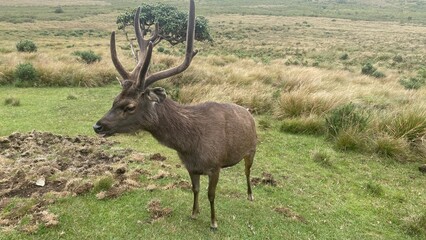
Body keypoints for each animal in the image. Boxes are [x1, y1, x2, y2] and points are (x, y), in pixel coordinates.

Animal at [93, 0, 256, 230]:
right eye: (115, 99)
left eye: (130, 106)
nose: (98, 126)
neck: (190, 144)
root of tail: (249, 113)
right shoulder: (191, 166)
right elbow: (195, 189)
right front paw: (194, 213)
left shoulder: (215, 165)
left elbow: (211, 194)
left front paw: (213, 222)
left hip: (252, 149)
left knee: (247, 171)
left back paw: (250, 195)